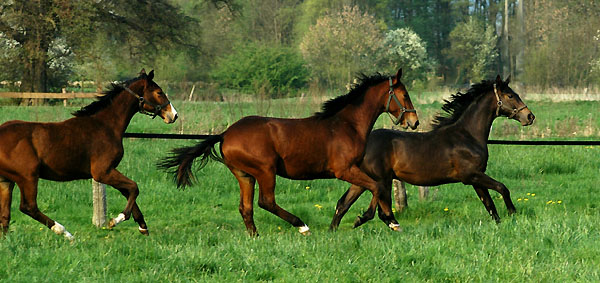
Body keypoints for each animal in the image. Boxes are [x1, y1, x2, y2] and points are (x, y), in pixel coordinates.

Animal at [0, 69, 178, 240]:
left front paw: (143, 226)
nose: (174, 115)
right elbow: (134, 187)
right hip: (28, 177)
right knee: (28, 207)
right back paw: (66, 233)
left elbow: (128, 191)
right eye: (159, 92)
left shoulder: (109, 171)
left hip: (7, 180)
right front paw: (116, 220)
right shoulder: (102, 172)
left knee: (5, 216)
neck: (106, 125)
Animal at [162, 69, 420, 237]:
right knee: (266, 202)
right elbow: (376, 188)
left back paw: (256, 237)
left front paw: (387, 221)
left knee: (246, 207)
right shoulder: (344, 170)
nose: (414, 121)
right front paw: (371, 219)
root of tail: (225, 133)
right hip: (265, 171)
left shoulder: (355, 170)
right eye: (405, 95)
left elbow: (362, 194)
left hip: (245, 175)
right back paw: (301, 225)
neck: (347, 125)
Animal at [330, 75, 536, 231]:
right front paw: (513, 213)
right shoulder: (471, 175)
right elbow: (502, 188)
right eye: (510, 95)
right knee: (377, 208)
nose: (529, 116)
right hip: (381, 179)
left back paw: (338, 230)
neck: (467, 135)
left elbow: (490, 205)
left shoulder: (476, 179)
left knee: (343, 204)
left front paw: (501, 224)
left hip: (364, 179)